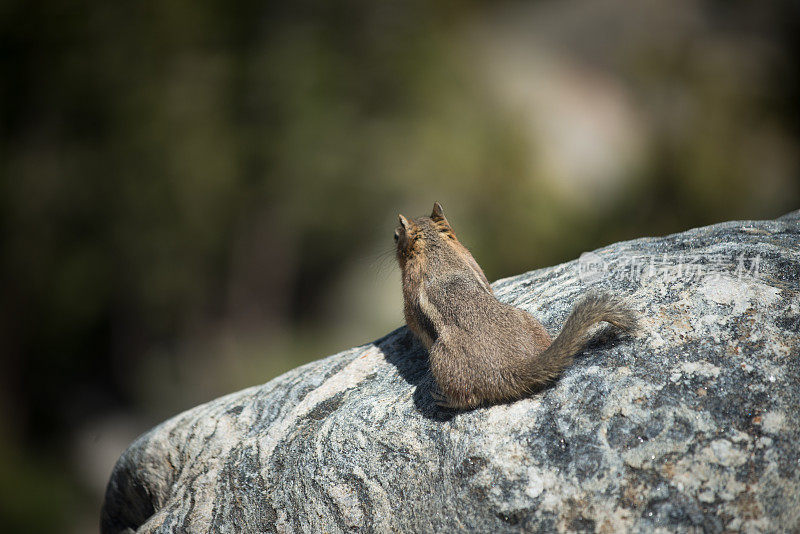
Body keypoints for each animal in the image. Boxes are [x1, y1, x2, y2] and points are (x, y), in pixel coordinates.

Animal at [396, 203, 636, 412]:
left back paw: (445, 400)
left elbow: (412, 321)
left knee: (469, 398)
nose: (394, 236)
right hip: (528, 319)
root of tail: (513, 367)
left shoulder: (410, 289)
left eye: (396, 236)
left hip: (442, 359)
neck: (434, 245)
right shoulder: (469, 257)